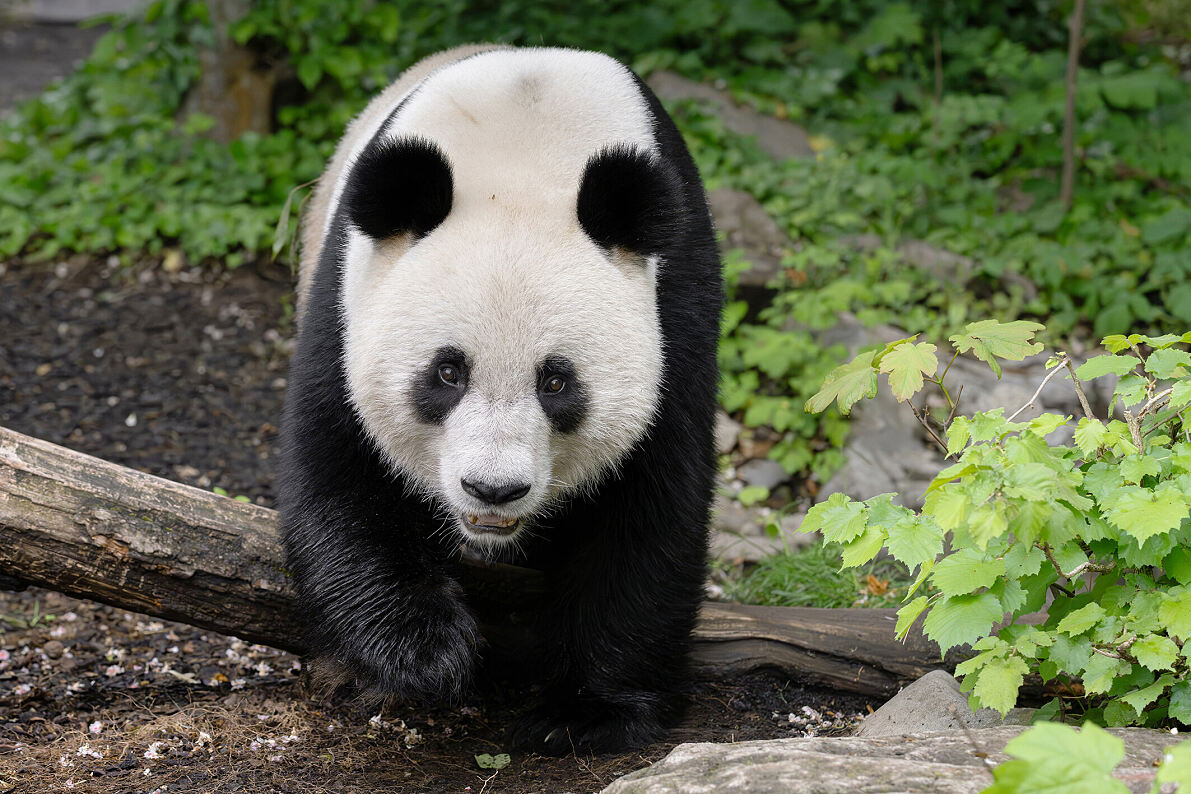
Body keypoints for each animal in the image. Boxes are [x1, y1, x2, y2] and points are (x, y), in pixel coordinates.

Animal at [279, 44, 721, 754]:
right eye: (447, 373)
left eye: (557, 382)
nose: (493, 490)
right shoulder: (348, 297)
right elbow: (338, 467)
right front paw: (425, 652)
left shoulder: (674, 303)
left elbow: (649, 504)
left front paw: (588, 711)